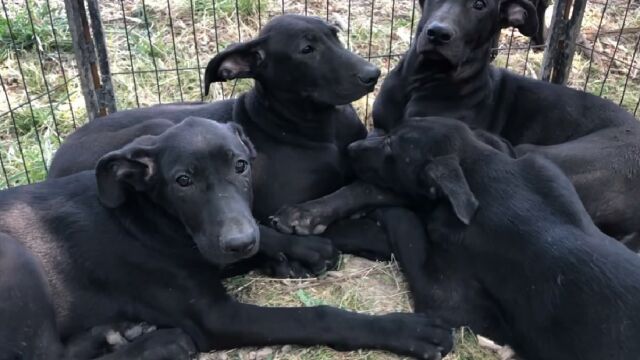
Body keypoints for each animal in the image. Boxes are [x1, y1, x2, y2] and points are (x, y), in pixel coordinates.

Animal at [0, 118, 452, 360]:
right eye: (182, 181)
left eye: (241, 165)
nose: (239, 242)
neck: (150, 219)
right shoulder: (215, 316)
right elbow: (318, 316)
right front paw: (407, 331)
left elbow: (263, 231)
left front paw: (301, 249)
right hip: (16, 260)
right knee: (43, 356)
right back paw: (161, 342)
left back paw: (118, 332)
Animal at [48, 14, 410, 278]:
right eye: (307, 49)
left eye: (335, 35)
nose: (373, 74)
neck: (317, 129)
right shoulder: (266, 206)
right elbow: (352, 227)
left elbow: (358, 188)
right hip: (160, 127)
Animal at [274, 0, 640, 248]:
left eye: (479, 5)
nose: (438, 33)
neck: (422, 80)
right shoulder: (380, 131)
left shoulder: (417, 166)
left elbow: (362, 187)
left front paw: (307, 213)